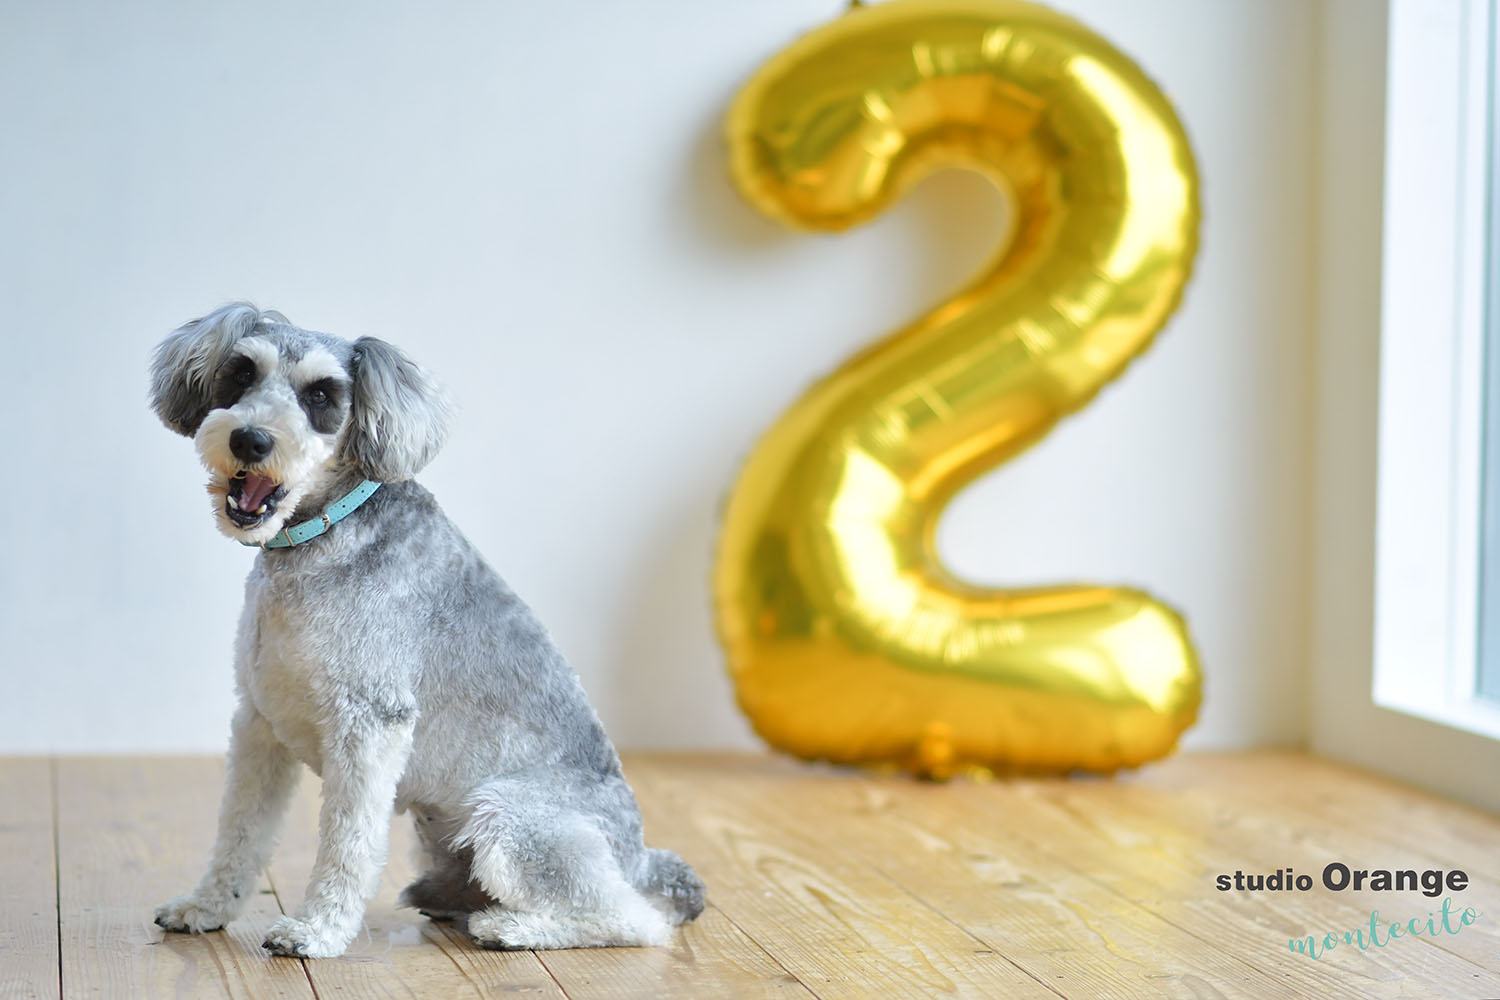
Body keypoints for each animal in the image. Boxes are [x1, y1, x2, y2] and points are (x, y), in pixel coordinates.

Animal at [144, 301, 702, 959]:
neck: (317, 541)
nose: (249, 438)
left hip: (508, 819)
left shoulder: (367, 728)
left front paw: (318, 930)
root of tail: (639, 858)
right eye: (240, 374)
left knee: (633, 920)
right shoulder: (259, 725)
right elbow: (240, 830)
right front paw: (206, 907)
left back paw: (513, 927)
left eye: (321, 395)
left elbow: (347, 842)